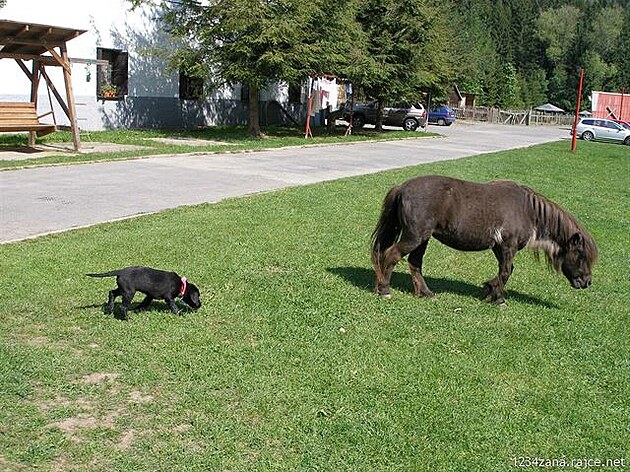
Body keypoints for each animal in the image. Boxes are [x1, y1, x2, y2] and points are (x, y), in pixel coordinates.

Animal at [372, 175, 600, 304]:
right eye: (581, 254)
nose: (587, 282)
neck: (527, 210)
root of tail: (402, 188)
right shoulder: (508, 245)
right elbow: (506, 271)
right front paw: (498, 299)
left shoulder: (499, 247)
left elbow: (505, 271)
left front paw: (491, 291)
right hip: (414, 237)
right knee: (391, 255)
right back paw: (384, 290)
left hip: (423, 239)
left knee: (414, 263)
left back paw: (426, 293)